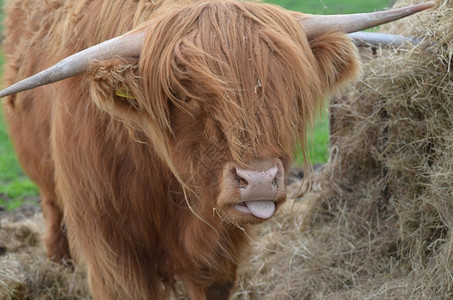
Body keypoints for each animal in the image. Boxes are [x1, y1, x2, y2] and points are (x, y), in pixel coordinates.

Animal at [0, 0, 430, 298]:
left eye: (290, 88)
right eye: (185, 95)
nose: (259, 181)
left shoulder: (219, 255)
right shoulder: (111, 248)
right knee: (51, 208)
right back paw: (58, 262)